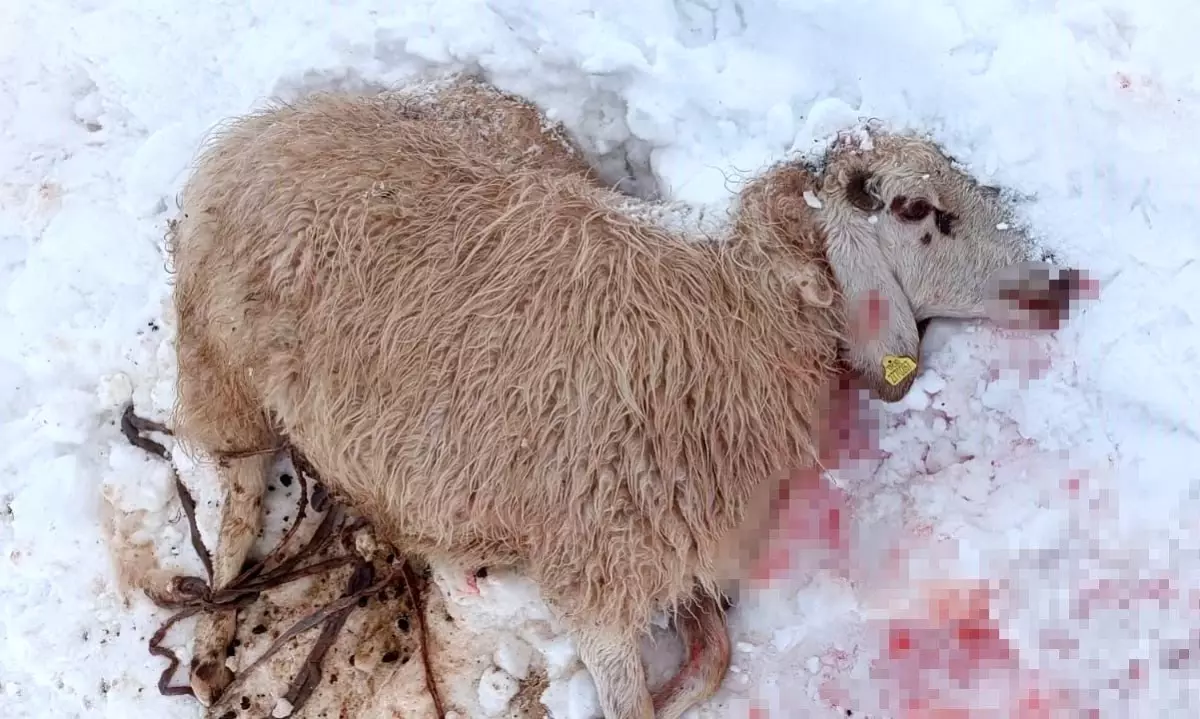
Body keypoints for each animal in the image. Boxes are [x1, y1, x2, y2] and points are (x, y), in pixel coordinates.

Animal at [162, 74, 1089, 719]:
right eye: (917, 209)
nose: (1062, 281)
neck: (740, 306)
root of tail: (272, 122)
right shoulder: (599, 572)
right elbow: (635, 695)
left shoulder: (679, 552)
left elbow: (710, 662)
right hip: (219, 363)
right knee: (238, 501)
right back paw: (211, 640)